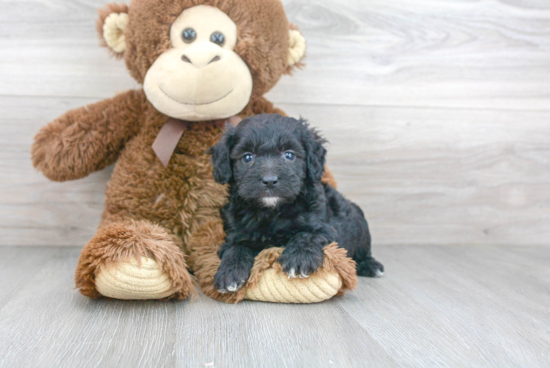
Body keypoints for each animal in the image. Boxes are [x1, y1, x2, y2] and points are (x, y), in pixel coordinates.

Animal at [209, 114, 386, 294]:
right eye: (247, 157)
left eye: (289, 155)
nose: (270, 180)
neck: (271, 211)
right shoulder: (235, 233)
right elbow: (235, 247)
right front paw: (230, 272)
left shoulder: (325, 228)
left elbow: (307, 234)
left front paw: (299, 258)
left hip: (361, 226)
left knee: (362, 251)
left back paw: (371, 266)